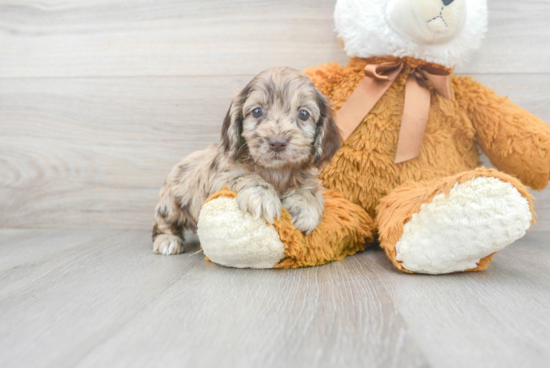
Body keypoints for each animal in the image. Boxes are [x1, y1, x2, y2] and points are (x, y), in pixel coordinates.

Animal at [153, 66, 342, 254]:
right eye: (257, 111)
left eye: (303, 114)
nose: (277, 142)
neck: (276, 171)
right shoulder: (221, 176)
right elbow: (245, 176)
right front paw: (263, 197)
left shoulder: (307, 178)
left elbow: (310, 191)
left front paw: (305, 208)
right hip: (170, 204)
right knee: (163, 223)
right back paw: (167, 240)